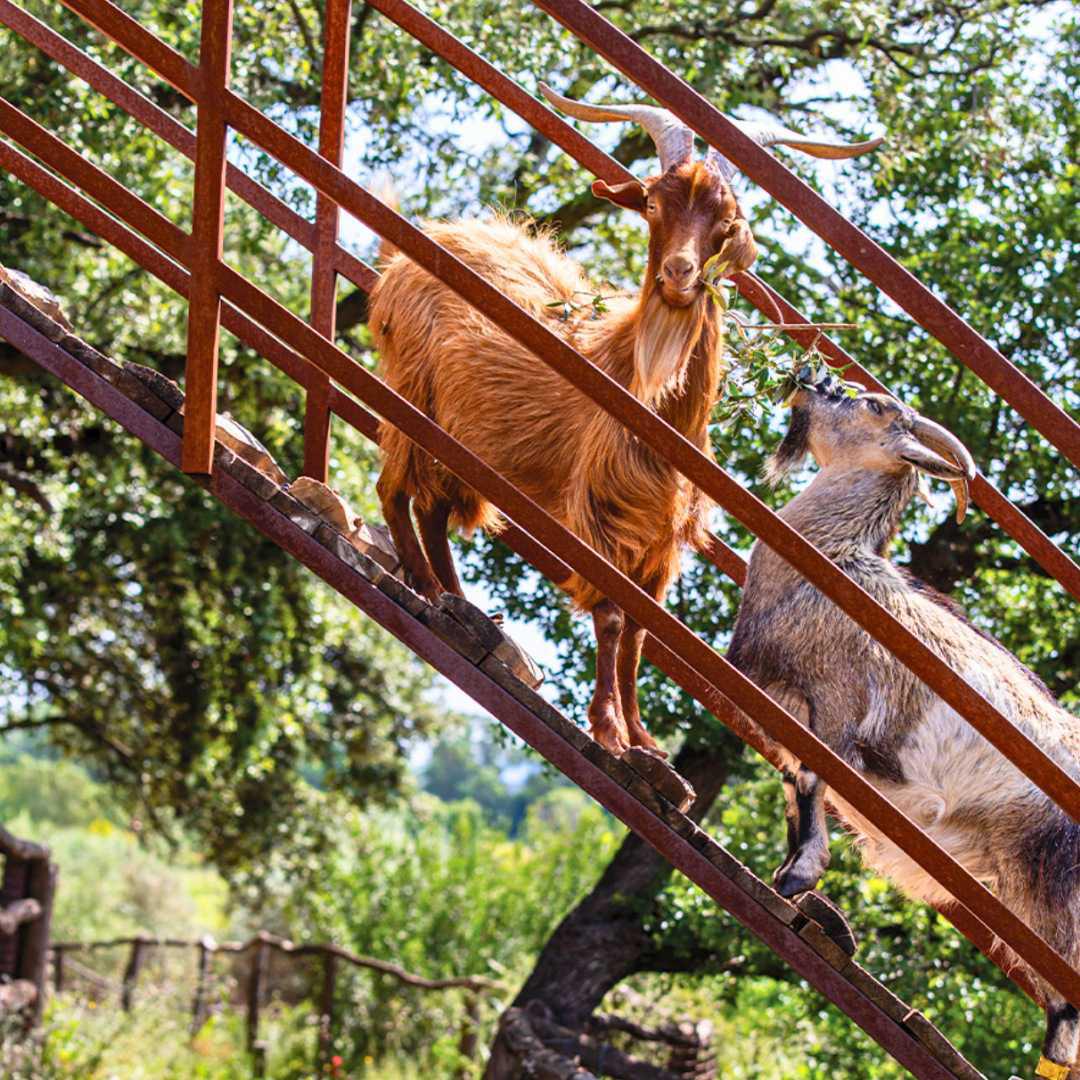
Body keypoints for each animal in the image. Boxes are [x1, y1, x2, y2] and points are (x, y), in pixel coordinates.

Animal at [371, 88, 876, 756]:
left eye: (726, 220)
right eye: (655, 204)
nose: (679, 274)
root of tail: (419, 243)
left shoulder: (661, 537)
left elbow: (640, 630)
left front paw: (642, 735)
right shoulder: (605, 514)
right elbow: (612, 615)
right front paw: (608, 726)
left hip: (464, 435)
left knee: (432, 504)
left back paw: (454, 597)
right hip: (413, 389)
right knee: (394, 485)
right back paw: (427, 587)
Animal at [725, 380, 1080, 1080]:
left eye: (873, 406)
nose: (810, 382)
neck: (834, 568)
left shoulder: (836, 707)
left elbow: (814, 780)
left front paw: (801, 875)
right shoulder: (790, 709)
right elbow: (794, 789)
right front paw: (791, 873)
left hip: (1045, 880)